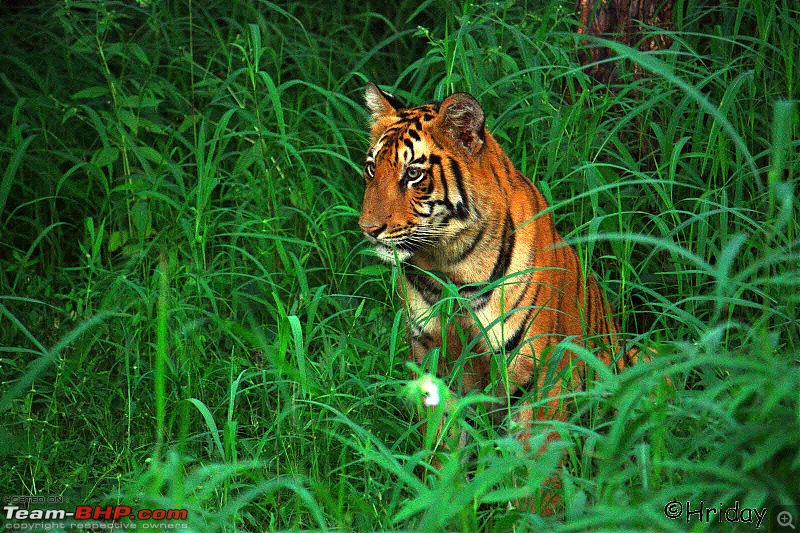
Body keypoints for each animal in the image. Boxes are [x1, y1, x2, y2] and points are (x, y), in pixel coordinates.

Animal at [360, 81, 636, 510]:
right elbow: (442, 450)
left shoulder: (534, 372)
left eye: (413, 174)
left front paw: (537, 514)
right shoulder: (433, 359)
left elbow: (537, 470)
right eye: (373, 168)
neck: (449, 266)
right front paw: (443, 504)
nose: (368, 229)